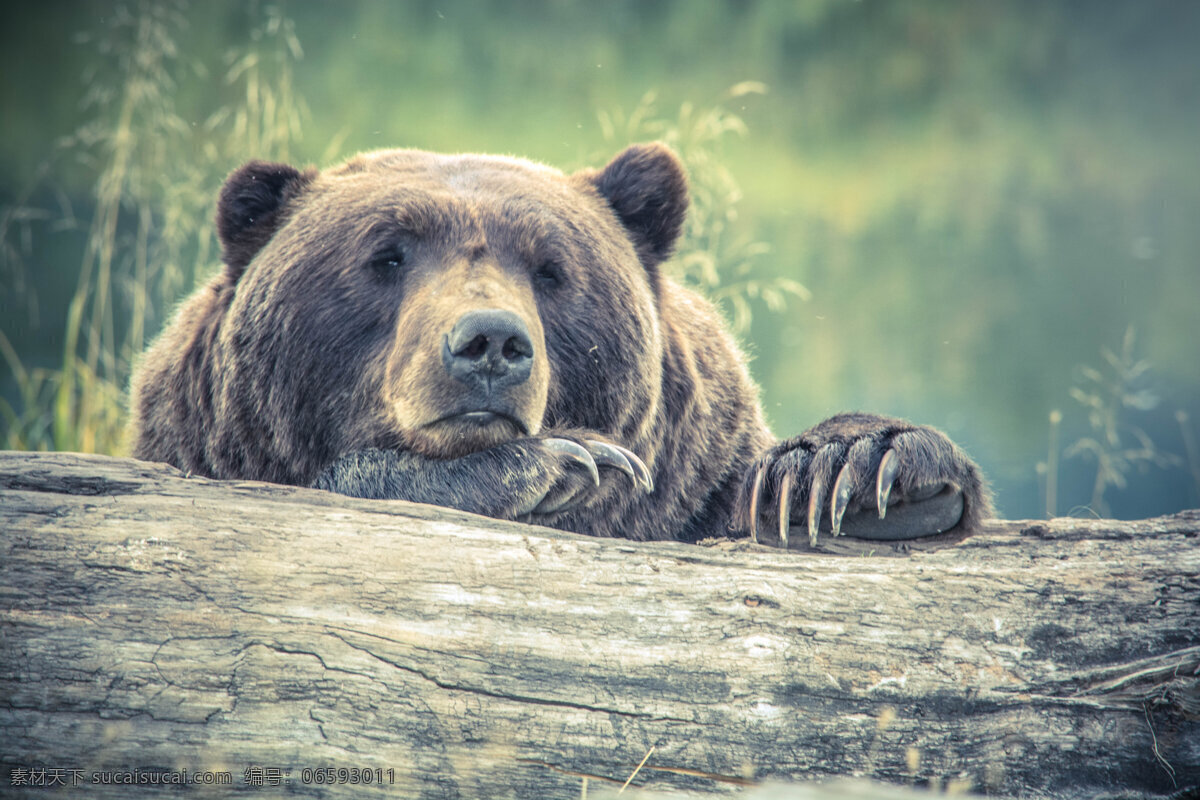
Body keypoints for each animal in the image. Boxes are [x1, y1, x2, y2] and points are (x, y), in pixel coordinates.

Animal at [133, 142, 993, 544]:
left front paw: (851, 471)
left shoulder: (696, 481)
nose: (489, 342)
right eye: (386, 255)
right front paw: (560, 463)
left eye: (550, 268)